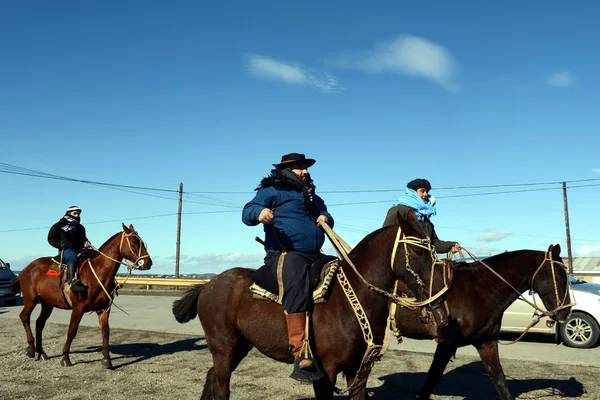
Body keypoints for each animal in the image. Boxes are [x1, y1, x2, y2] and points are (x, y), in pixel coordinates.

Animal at [8, 223, 152, 368]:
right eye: (134, 242)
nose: (148, 262)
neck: (98, 273)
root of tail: (26, 269)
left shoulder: (104, 309)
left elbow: (106, 331)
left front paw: (106, 359)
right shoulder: (78, 308)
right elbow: (72, 331)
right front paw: (65, 358)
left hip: (47, 304)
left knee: (39, 323)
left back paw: (41, 352)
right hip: (31, 299)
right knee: (24, 317)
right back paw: (31, 349)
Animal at [171, 212, 452, 400]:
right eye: (418, 253)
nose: (439, 302)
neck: (350, 302)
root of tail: (208, 285)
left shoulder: (358, 370)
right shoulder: (325, 372)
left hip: (239, 346)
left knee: (211, 378)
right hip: (223, 347)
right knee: (221, 387)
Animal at [380, 245, 572, 398]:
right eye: (561, 278)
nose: (566, 312)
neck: (480, 290)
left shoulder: (486, 343)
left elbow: (500, 382)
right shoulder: (446, 345)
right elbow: (431, 380)